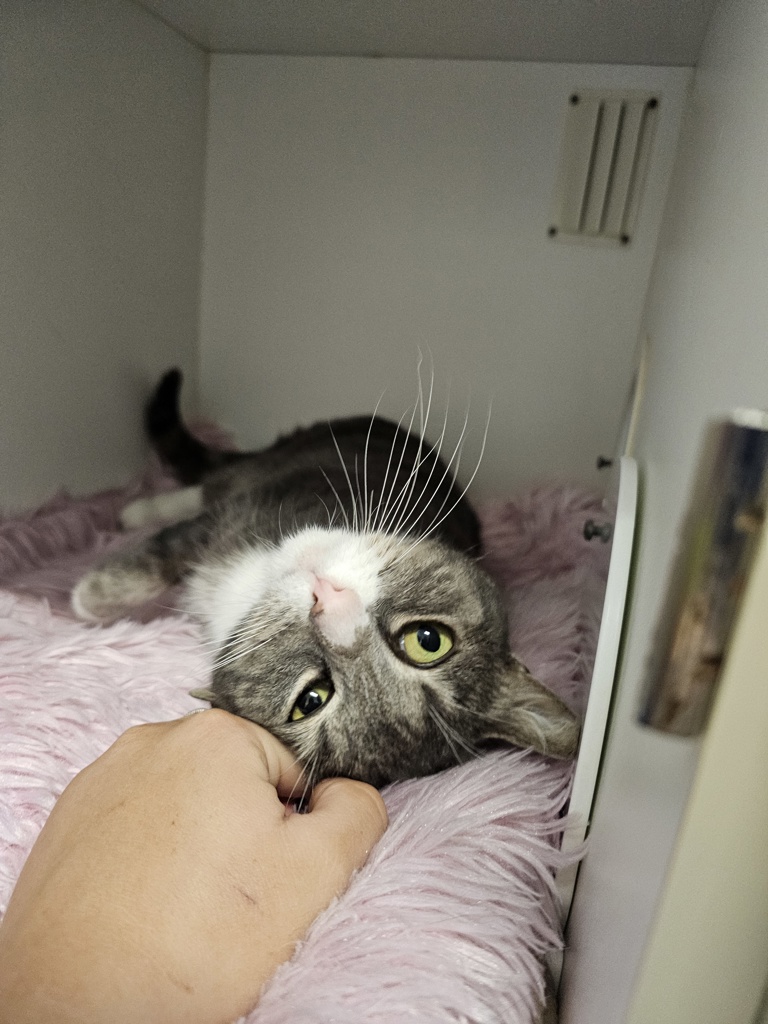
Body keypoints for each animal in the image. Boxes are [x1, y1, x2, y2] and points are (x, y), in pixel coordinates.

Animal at [72, 369, 579, 788]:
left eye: (312, 697)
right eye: (428, 640)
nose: (329, 601)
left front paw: (86, 596)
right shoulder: (253, 507)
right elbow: (166, 553)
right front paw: (89, 596)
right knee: (215, 480)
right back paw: (140, 509)